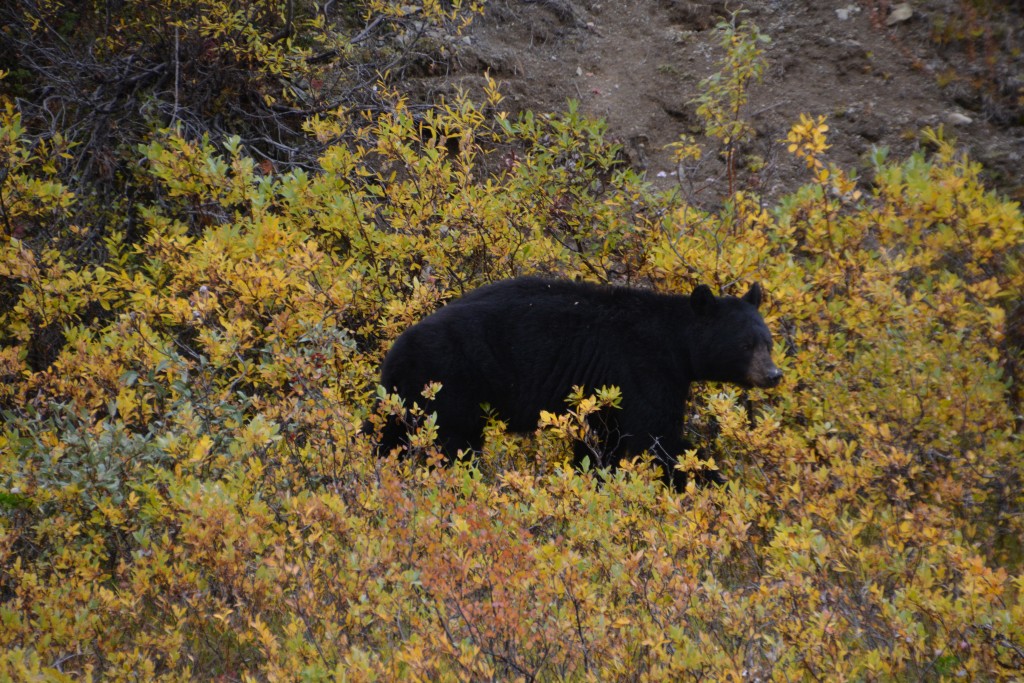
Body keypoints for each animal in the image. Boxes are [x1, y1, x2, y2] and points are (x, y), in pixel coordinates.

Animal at [372, 276, 782, 489]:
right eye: (746, 344)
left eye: (768, 341)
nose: (774, 375)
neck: (676, 344)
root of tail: (395, 353)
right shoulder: (643, 369)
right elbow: (656, 438)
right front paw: (715, 481)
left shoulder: (604, 395)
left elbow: (601, 442)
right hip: (449, 383)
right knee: (452, 444)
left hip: (404, 396)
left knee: (387, 434)